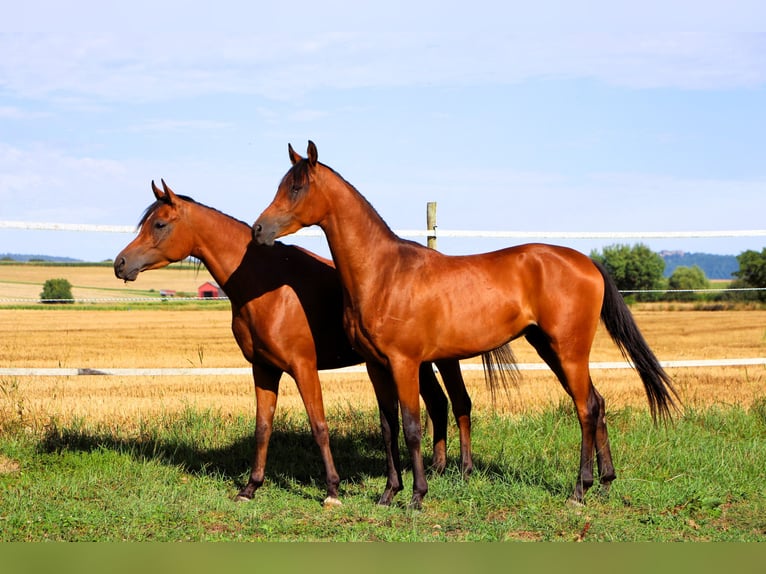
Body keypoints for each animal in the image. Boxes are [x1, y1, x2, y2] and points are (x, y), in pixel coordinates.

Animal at [114, 180, 477, 506]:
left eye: (160, 224)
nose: (120, 263)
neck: (267, 287)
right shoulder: (263, 368)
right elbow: (263, 427)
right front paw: (250, 487)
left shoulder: (304, 367)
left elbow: (319, 426)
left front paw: (332, 490)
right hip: (415, 362)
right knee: (439, 403)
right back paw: (438, 467)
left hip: (438, 359)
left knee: (458, 403)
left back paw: (460, 470)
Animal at [252, 141, 680, 509]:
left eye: (297, 187)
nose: (259, 230)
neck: (384, 272)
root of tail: (587, 261)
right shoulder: (377, 366)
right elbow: (389, 428)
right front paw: (389, 494)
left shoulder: (405, 363)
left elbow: (412, 426)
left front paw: (417, 496)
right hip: (550, 348)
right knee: (598, 402)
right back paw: (605, 483)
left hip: (569, 350)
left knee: (586, 408)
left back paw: (580, 490)